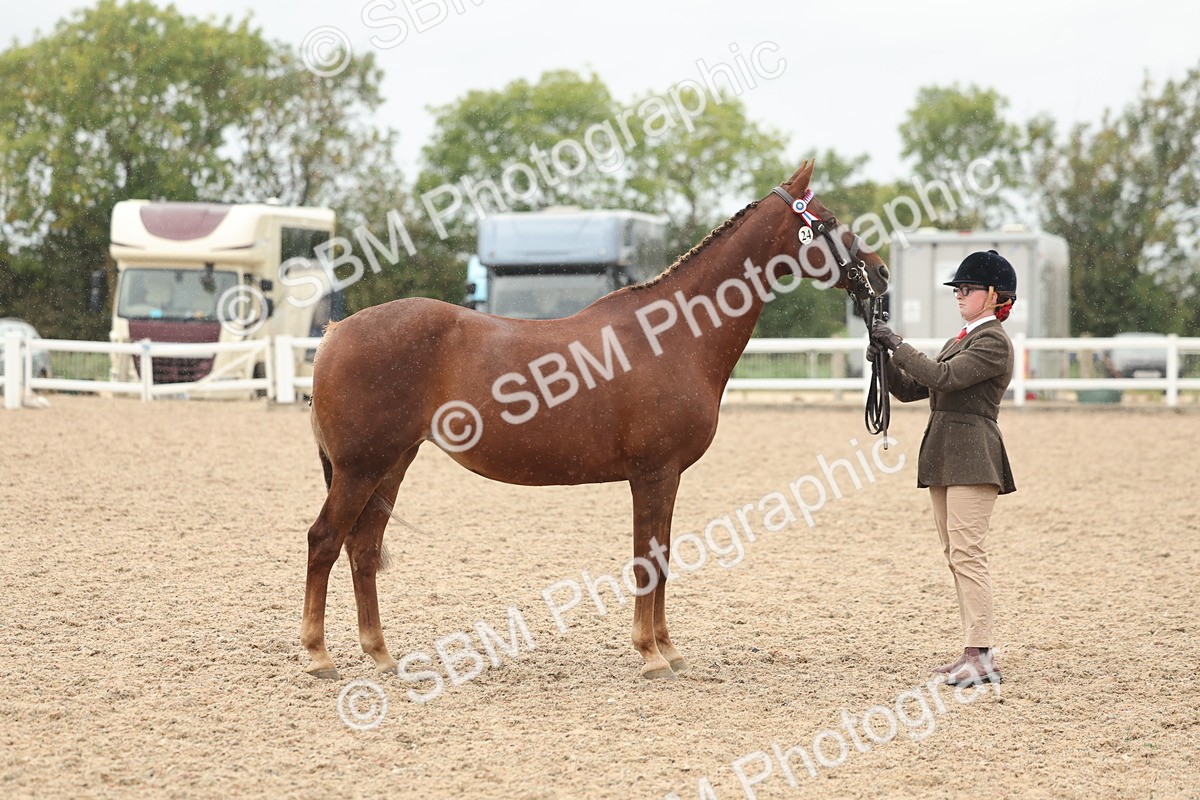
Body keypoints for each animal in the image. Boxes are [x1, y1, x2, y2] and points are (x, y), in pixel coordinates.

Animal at [302, 160, 890, 681]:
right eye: (828, 220)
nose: (881, 271)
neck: (673, 334)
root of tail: (336, 332)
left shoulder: (666, 477)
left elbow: (663, 556)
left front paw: (668, 649)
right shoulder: (653, 474)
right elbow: (647, 560)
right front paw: (650, 656)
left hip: (392, 464)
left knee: (363, 547)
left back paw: (380, 654)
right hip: (361, 467)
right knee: (325, 539)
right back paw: (319, 656)